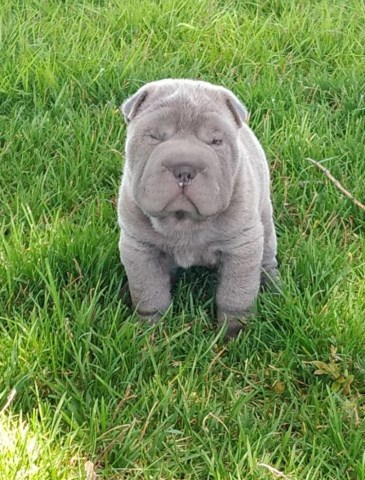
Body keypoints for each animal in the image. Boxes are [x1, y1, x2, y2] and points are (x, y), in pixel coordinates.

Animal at [118, 79, 278, 338]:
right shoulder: (140, 248)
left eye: (215, 141)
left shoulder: (241, 247)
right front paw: (149, 331)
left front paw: (234, 333)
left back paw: (274, 287)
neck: (183, 220)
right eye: (154, 136)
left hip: (265, 221)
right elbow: (149, 293)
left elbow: (236, 295)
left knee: (267, 260)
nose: (184, 168)